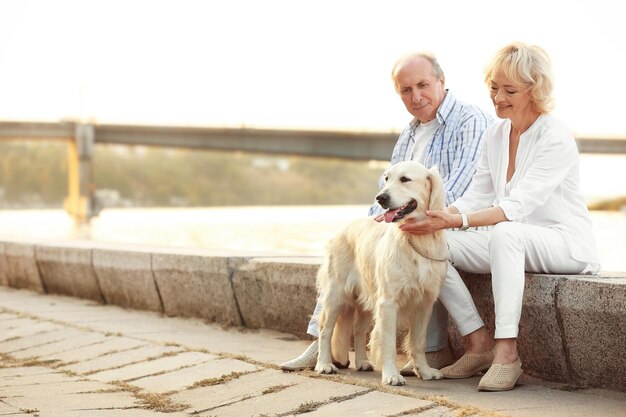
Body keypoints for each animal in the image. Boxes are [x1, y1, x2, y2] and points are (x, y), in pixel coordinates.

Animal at [314, 159, 446, 384]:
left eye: (405, 179)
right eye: (386, 178)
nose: (381, 197)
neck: (416, 241)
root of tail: (344, 228)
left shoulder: (425, 303)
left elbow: (418, 342)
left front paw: (425, 371)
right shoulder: (388, 302)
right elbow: (389, 343)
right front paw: (392, 375)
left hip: (366, 298)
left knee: (359, 331)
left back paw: (362, 362)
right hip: (336, 294)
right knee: (325, 330)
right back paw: (324, 364)